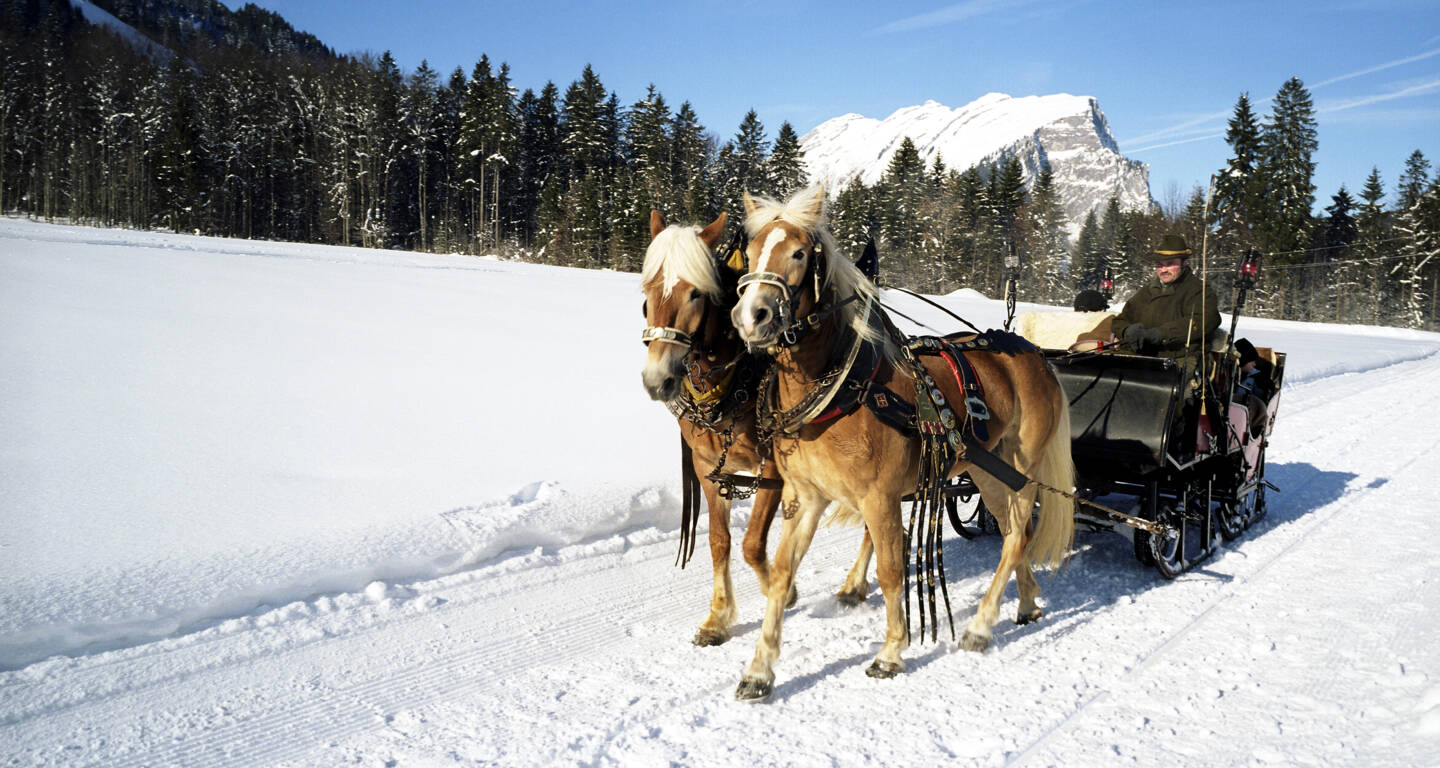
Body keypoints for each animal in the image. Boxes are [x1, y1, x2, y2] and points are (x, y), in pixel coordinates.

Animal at [645, 208, 875, 645]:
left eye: (695, 293)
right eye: (646, 291)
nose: (656, 380)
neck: (733, 379)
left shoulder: (775, 472)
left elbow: (753, 544)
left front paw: (783, 591)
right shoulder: (708, 468)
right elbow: (720, 542)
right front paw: (718, 617)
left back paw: (854, 584)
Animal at [731, 185, 1071, 700]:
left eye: (798, 253)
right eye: (749, 252)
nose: (753, 316)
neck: (841, 387)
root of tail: (1037, 357)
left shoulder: (880, 497)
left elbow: (892, 571)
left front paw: (891, 651)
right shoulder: (803, 496)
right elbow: (782, 572)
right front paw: (759, 669)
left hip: (1018, 470)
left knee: (1016, 537)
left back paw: (981, 626)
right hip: (985, 469)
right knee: (1020, 536)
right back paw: (1027, 601)